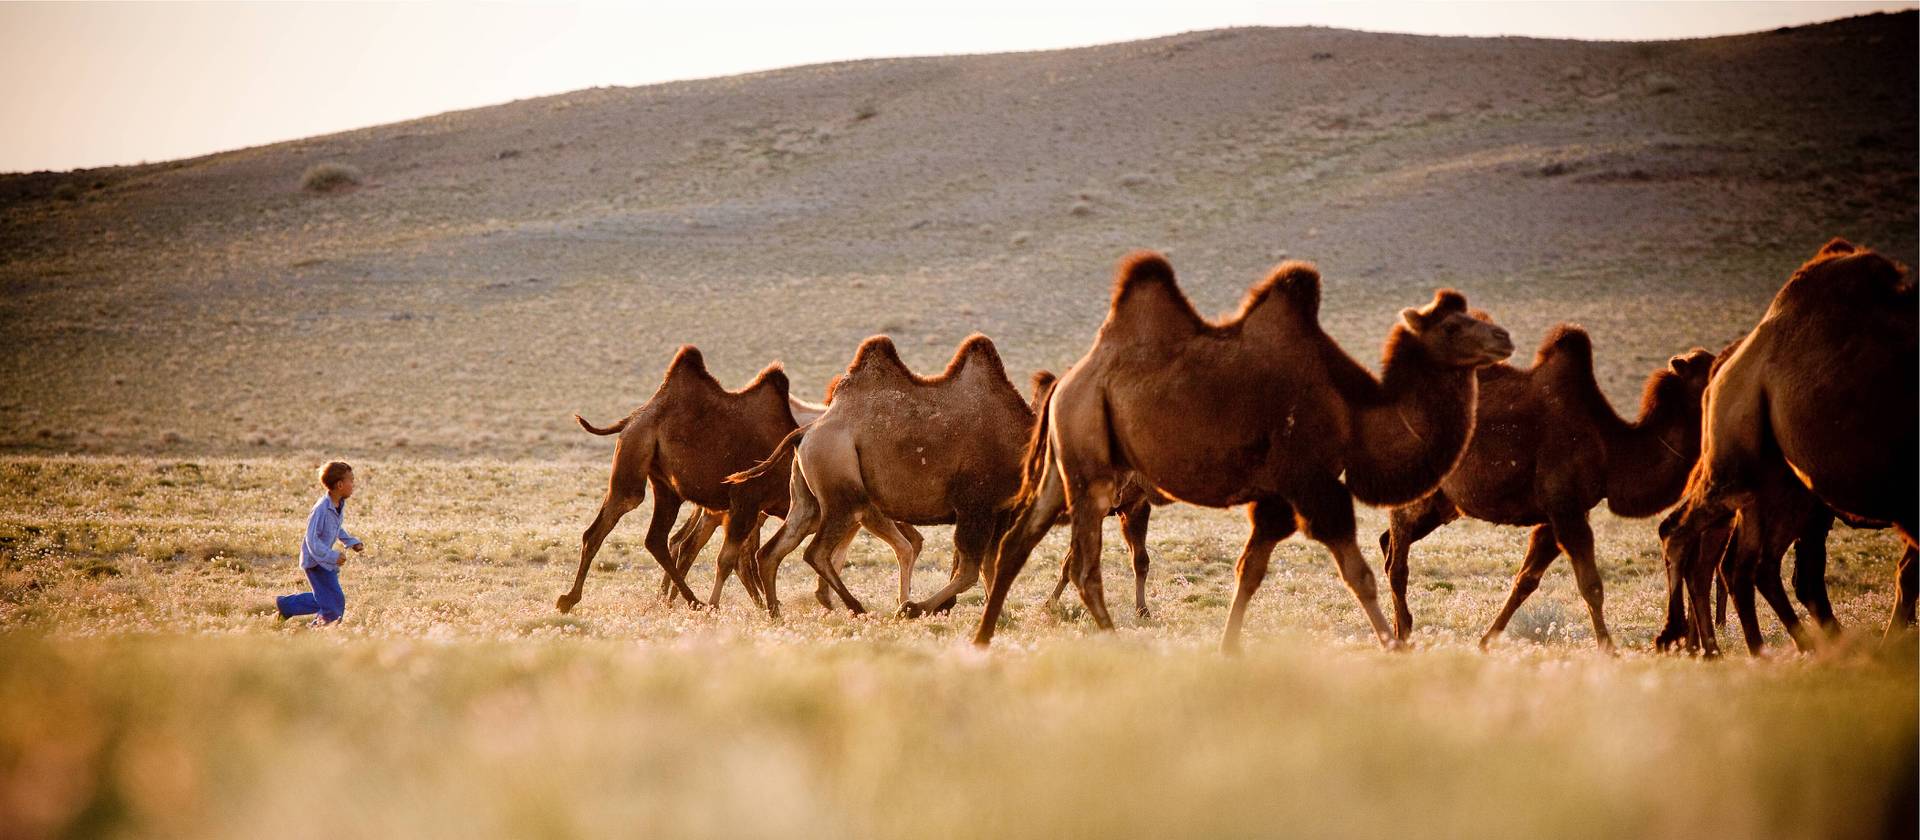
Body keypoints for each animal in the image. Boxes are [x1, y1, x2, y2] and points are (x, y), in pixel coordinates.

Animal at [556, 346, 922, 614]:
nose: (917, 537)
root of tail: (635, 416)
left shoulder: (751, 507)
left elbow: (743, 559)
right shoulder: (746, 499)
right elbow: (734, 559)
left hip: (667, 486)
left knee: (656, 538)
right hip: (634, 462)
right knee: (616, 523)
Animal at [732, 334, 1044, 619]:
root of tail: (805, 432)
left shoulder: (1001, 511)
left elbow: (990, 567)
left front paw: (999, 617)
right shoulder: (975, 506)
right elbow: (969, 572)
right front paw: (910, 608)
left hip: (807, 499)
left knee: (772, 551)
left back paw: (776, 613)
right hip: (841, 491)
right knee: (816, 551)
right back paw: (857, 608)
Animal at [976, 251, 1515, 651]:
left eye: (1477, 316)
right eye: (1451, 326)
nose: (1505, 336)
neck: (1353, 413)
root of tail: (1066, 382)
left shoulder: (1276, 497)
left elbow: (1248, 572)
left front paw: (1229, 648)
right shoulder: (1312, 482)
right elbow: (1357, 573)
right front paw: (1395, 646)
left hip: (1064, 462)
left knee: (1017, 542)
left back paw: (982, 638)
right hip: (1093, 467)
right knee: (1082, 566)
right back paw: (1115, 643)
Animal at [1377, 326, 1715, 651]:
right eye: (1711, 369)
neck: (1608, 447)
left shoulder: (1559, 514)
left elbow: (1526, 580)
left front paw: (1486, 642)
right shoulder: (1565, 506)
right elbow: (1591, 585)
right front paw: (1609, 649)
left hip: (1441, 504)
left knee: (1387, 543)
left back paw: (1394, 629)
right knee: (1397, 561)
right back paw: (1402, 634)